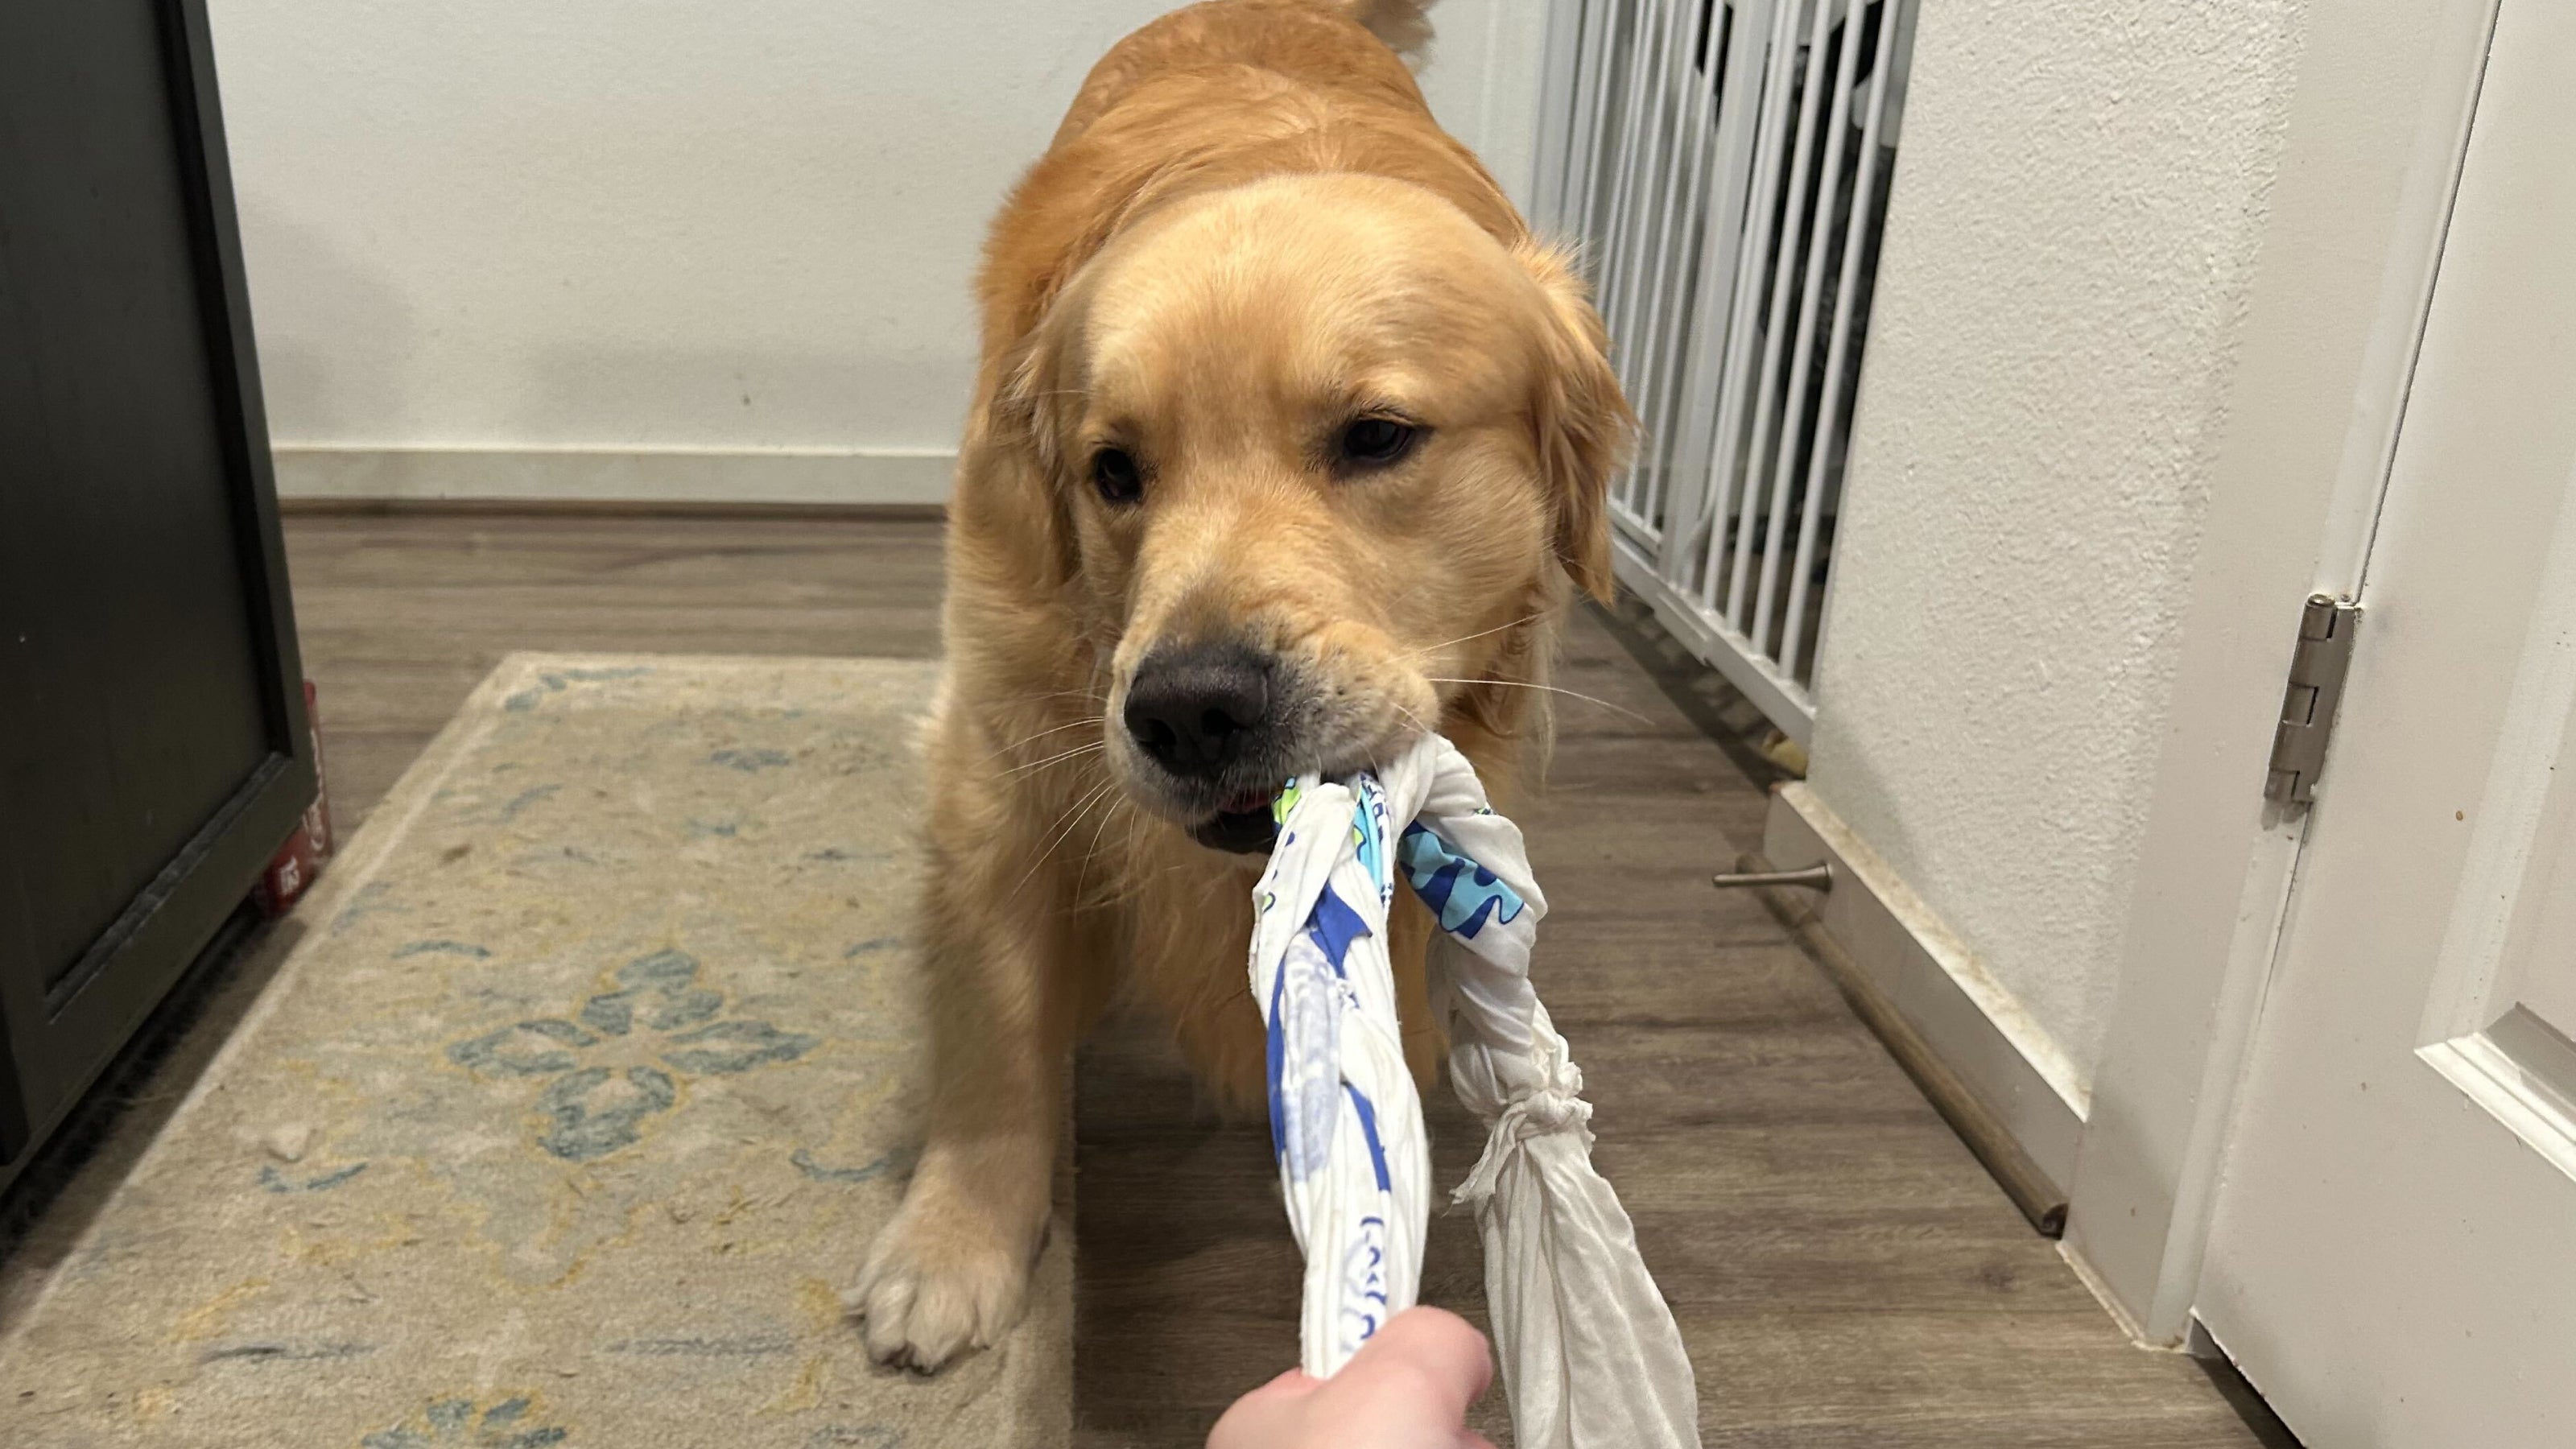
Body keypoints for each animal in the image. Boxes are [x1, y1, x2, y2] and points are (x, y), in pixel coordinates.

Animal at [850, 0, 1628, 1361]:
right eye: (1114, 471)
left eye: (1377, 438)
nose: (1188, 709)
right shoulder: (997, 748)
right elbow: (996, 1020)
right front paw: (954, 1246)